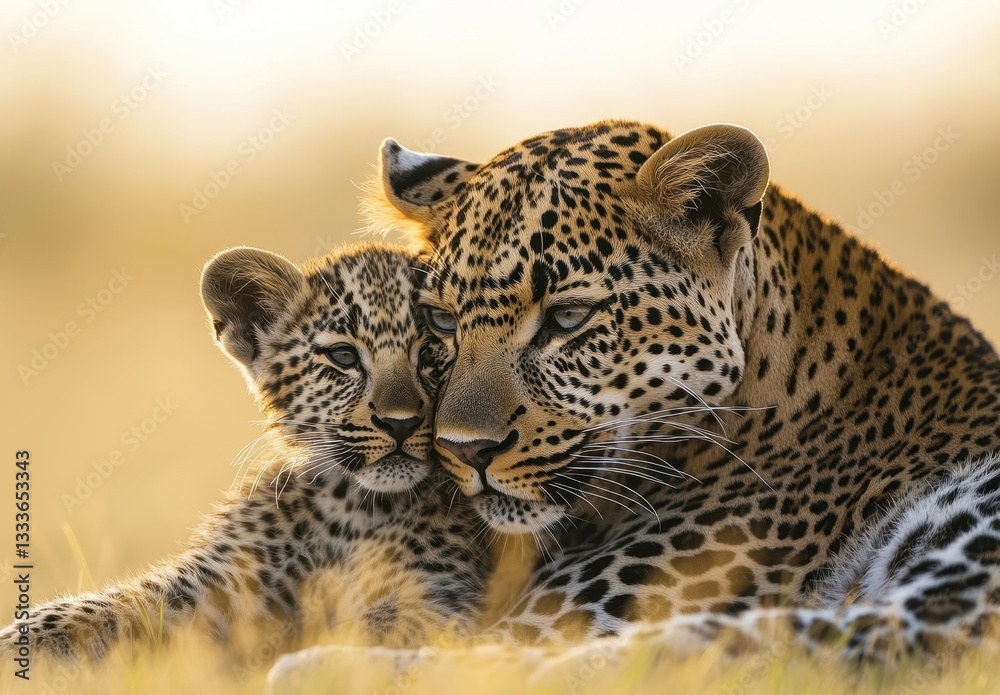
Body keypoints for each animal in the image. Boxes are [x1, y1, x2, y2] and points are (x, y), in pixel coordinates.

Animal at [0, 242, 492, 668]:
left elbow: (364, 632)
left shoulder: (433, 597)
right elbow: (97, 609)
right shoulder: (213, 585)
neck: (349, 508)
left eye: (432, 350)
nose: (400, 422)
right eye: (343, 356)